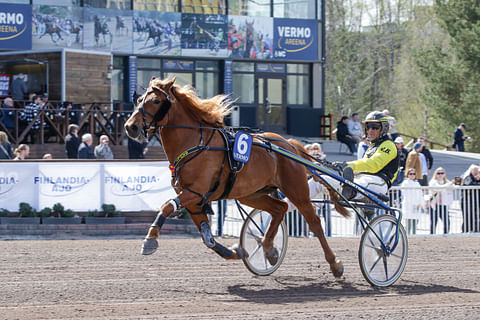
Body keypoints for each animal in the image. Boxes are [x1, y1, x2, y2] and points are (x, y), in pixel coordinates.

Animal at [124, 77, 348, 278]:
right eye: (139, 99)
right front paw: (235, 252)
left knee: (314, 222)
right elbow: (207, 238)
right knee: (280, 209)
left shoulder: (196, 193)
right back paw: (269, 249)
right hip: (251, 194)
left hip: (296, 190)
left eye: (155, 101)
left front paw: (150, 240)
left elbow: (166, 207)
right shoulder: (194, 200)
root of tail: (289, 144)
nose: (130, 126)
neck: (195, 144)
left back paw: (334, 264)